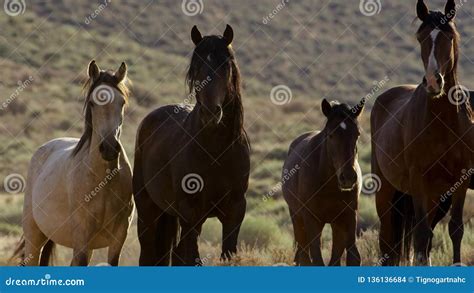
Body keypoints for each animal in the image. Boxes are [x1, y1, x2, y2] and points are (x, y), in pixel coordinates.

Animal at [12, 61, 134, 264]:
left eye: (122, 102)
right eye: (92, 103)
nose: (109, 148)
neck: (102, 181)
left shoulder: (118, 239)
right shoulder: (82, 239)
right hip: (34, 236)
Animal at [132, 25, 252, 264]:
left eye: (226, 65)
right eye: (196, 66)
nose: (210, 112)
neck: (216, 151)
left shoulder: (235, 211)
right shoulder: (190, 213)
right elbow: (192, 259)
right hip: (148, 210)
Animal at [284, 98, 364, 264]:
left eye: (357, 134)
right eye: (331, 135)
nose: (348, 177)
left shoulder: (348, 216)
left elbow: (352, 254)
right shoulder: (311, 219)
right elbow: (315, 258)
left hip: (336, 224)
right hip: (297, 218)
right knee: (303, 253)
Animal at [372, 0, 472, 264]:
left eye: (449, 36)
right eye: (420, 37)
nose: (434, 82)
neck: (443, 123)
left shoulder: (461, 180)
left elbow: (455, 229)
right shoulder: (418, 181)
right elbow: (421, 235)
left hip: (435, 197)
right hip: (387, 193)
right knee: (389, 240)